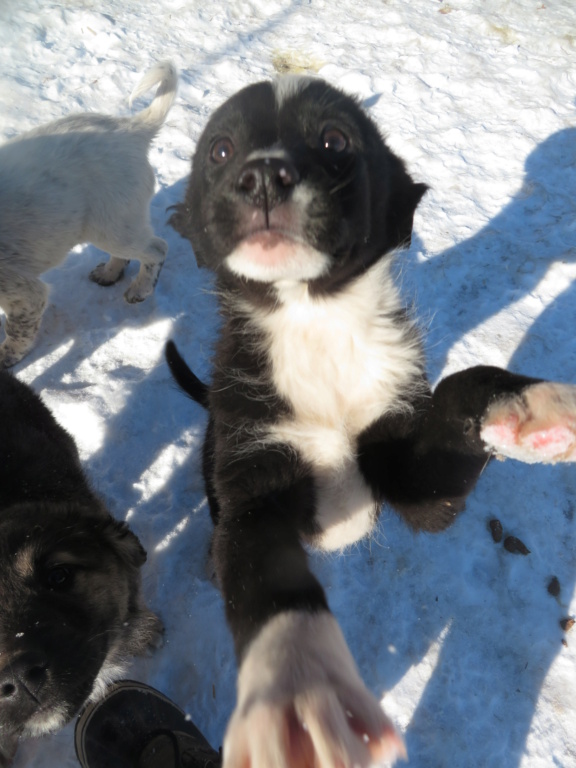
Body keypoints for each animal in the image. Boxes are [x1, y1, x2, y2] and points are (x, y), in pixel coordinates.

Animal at [0, 61, 177, 368]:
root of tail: (132, 129)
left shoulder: (21, 289)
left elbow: (18, 329)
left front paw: (7, 357)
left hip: (112, 224)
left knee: (156, 248)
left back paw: (140, 289)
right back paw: (109, 274)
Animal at [165, 79, 576, 768]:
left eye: (334, 141)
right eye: (220, 149)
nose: (263, 176)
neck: (314, 320)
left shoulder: (419, 481)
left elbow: (459, 391)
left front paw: (528, 407)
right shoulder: (254, 483)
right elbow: (270, 582)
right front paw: (297, 689)